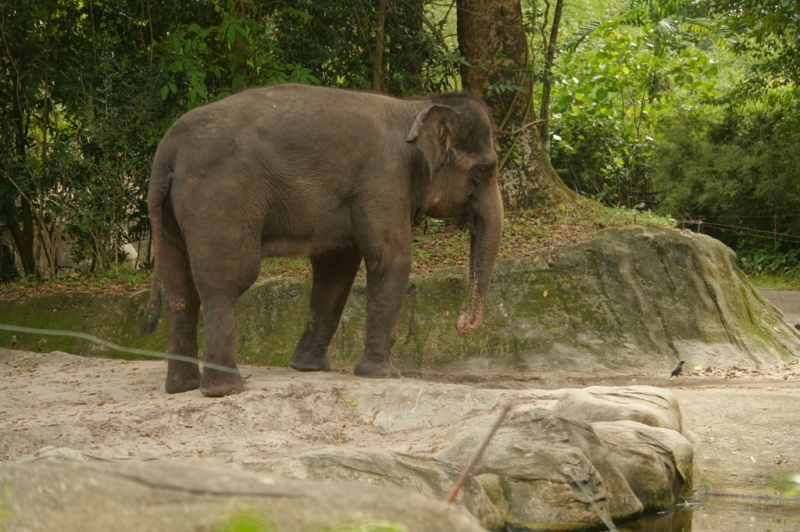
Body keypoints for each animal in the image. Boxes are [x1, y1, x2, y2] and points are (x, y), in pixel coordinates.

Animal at [138, 84, 500, 400]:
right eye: (485, 169)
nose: (462, 322)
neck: (413, 107)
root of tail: (166, 154)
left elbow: (336, 266)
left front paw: (307, 368)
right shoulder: (383, 180)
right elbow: (392, 258)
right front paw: (384, 375)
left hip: (172, 215)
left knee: (181, 293)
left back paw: (181, 387)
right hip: (218, 202)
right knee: (225, 283)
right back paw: (224, 390)